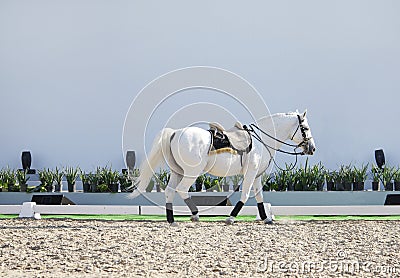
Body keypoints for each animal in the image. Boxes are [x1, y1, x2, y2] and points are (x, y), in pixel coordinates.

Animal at [131, 111, 316, 226]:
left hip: (178, 172)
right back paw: (195, 214)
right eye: (305, 128)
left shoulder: (256, 175)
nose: (312, 148)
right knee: (182, 190)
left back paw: (172, 220)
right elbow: (245, 195)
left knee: (169, 191)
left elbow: (259, 197)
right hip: (191, 173)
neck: (262, 141)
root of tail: (176, 132)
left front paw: (266, 219)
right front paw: (230, 218)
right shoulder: (250, 173)